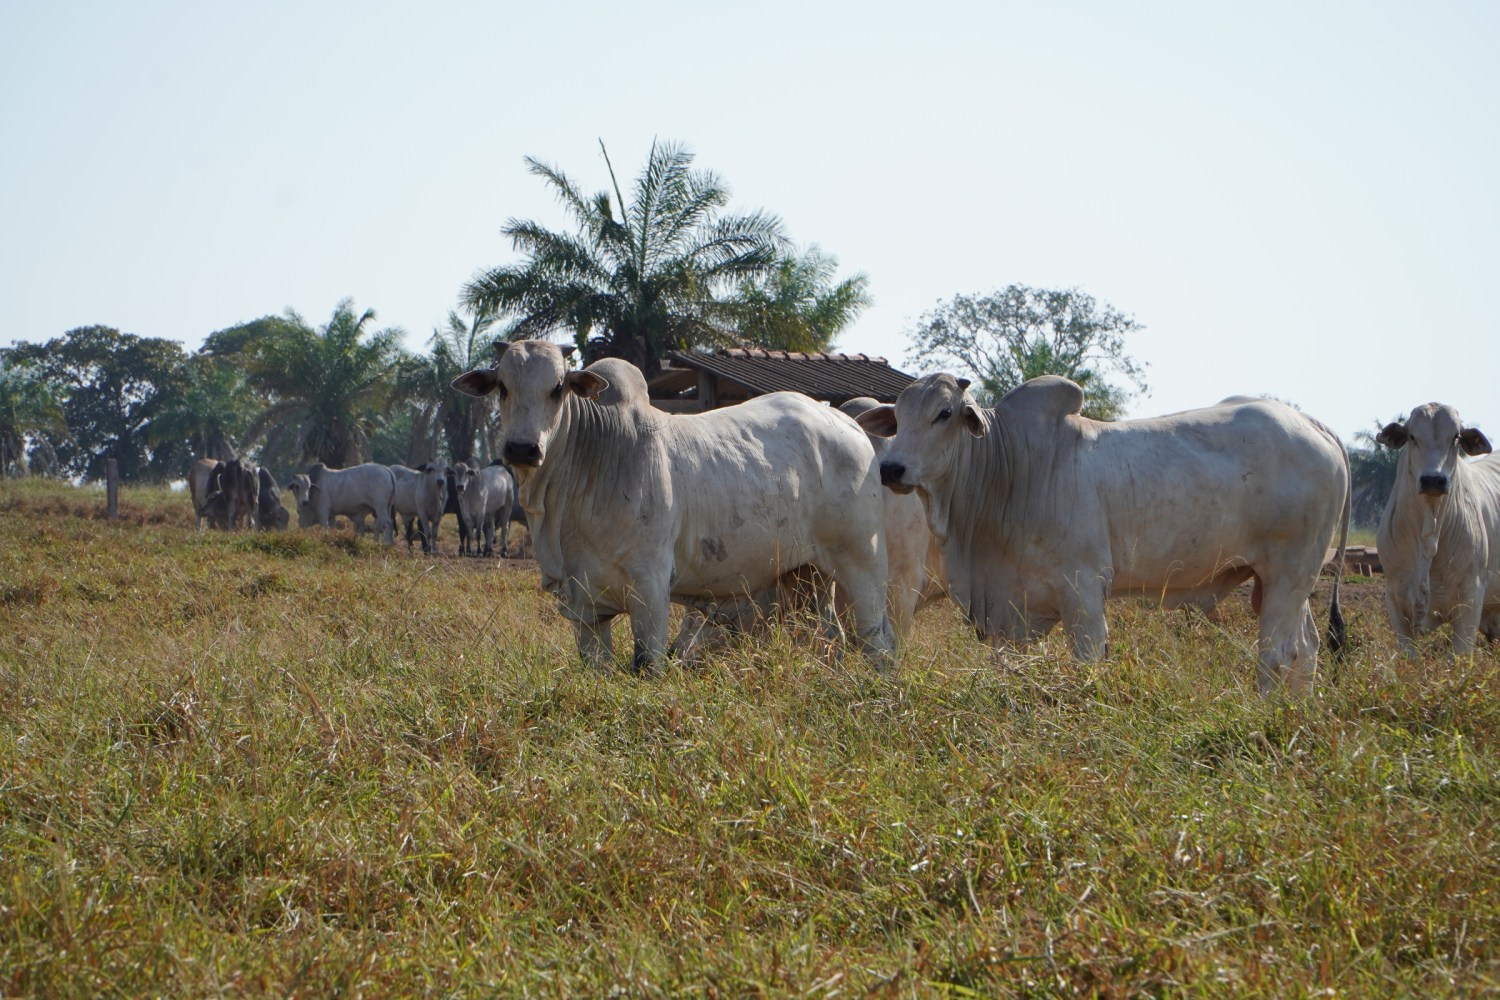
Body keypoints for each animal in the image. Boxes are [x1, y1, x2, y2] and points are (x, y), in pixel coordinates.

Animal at [450, 340, 894, 677]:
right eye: (502, 386)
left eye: (558, 387)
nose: (522, 448)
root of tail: (849, 425)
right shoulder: (587, 608)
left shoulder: (650, 588)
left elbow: (647, 665)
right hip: (806, 575)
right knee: (831, 637)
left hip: (863, 564)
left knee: (879, 640)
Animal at [858, 373, 1362, 695]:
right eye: (899, 415)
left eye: (944, 413)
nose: (891, 468)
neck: (1009, 467)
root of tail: (1314, 425)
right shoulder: (1007, 608)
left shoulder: (1082, 589)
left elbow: (1086, 662)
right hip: (1283, 584)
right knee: (1307, 648)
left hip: (1288, 574)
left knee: (1277, 654)